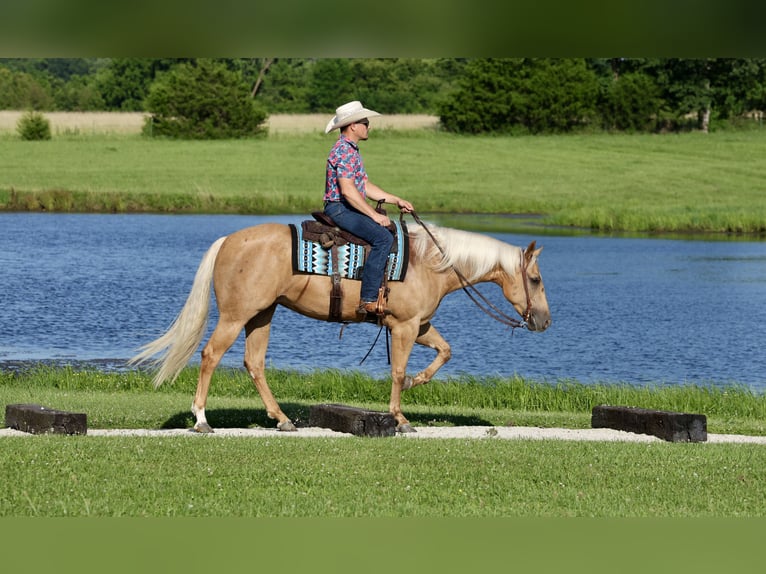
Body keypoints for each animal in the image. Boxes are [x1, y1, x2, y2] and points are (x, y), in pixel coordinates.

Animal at [130, 219, 551, 433]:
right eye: (534, 280)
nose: (545, 320)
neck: (430, 262)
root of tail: (227, 241)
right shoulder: (404, 326)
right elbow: (398, 371)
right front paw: (401, 418)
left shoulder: (420, 324)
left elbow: (445, 351)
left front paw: (416, 384)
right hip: (236, 316)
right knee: (210, 355)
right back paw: (202, 420)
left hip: (262, 315)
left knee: (255, 363)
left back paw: (283, 420)